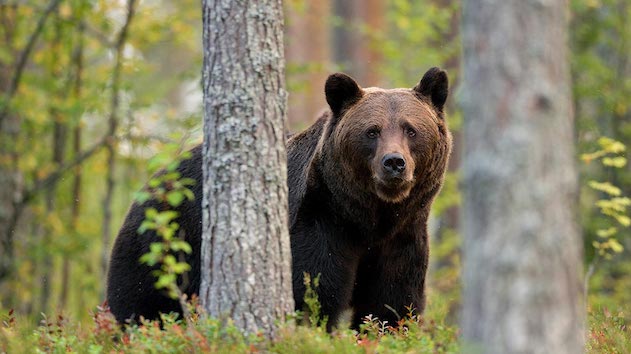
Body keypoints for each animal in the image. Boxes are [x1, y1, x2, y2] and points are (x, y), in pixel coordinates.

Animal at [106, 67, 452, 332]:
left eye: (411, 129)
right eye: (371, 131)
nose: (394, 162)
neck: (368, 217)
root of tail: (154, 182)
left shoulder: (402, 238)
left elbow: (391, 304)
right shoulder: (319, 222)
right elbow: (313, 292)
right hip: (163, 243)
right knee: (142, 304)